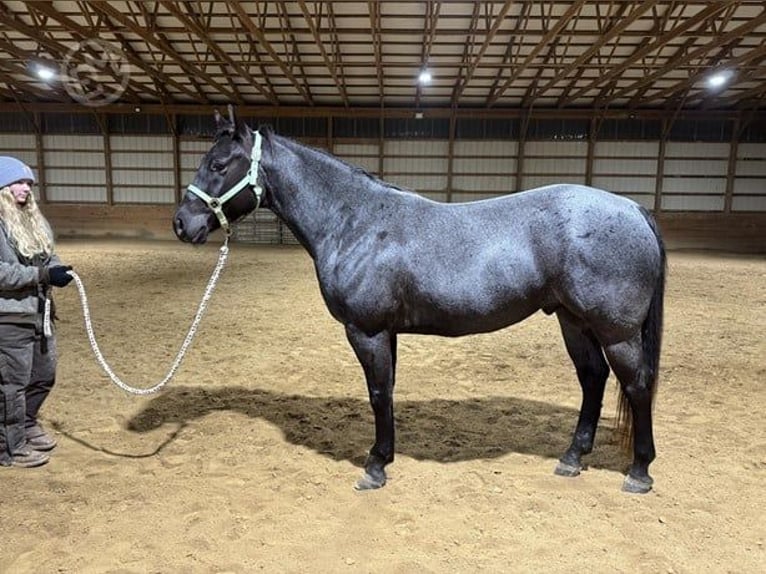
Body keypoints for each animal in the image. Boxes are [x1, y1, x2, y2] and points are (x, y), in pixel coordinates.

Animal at [173, 107, 666, 494]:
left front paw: (374, 467)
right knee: (593, 379)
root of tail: (632, 208)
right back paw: (572, 458)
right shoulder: (386, 332)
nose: (182, 223)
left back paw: (639, 472)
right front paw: (385, 457)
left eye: (218, 163)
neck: (355, 222)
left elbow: (377, 393)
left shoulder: (367, 331)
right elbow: (387, 391)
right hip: (573, 321)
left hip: (615, 331)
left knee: (637, 385)